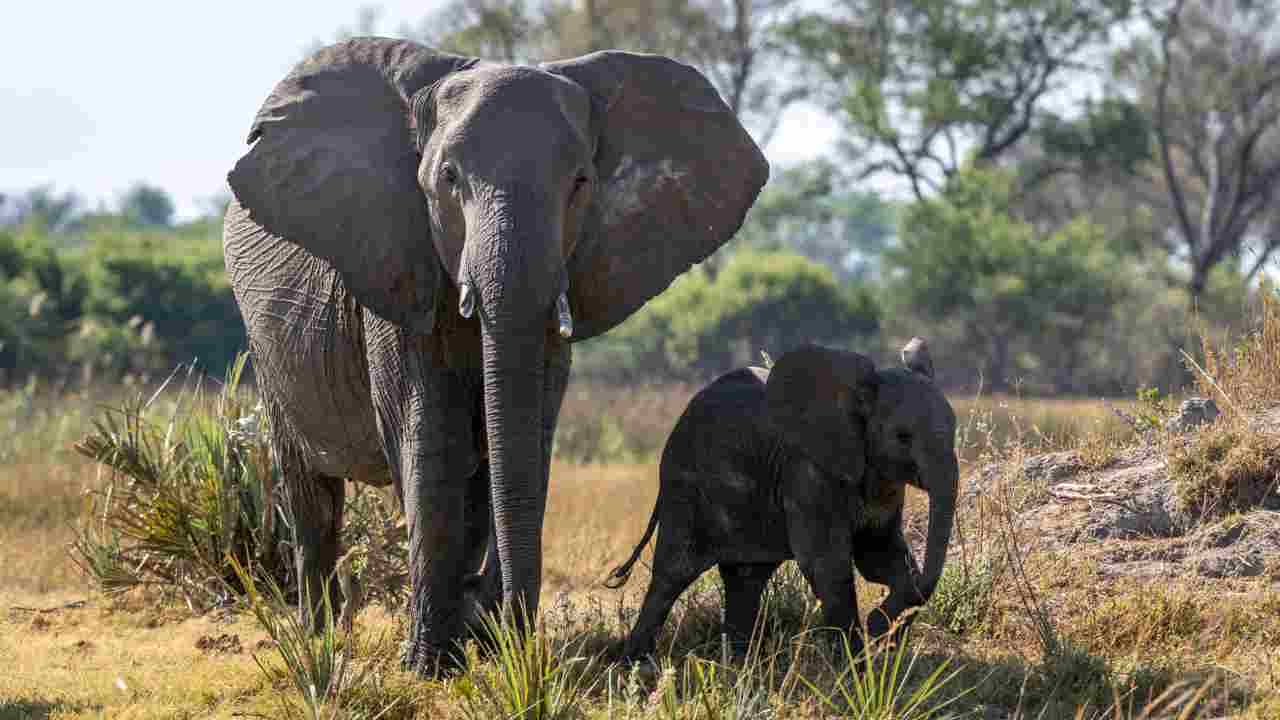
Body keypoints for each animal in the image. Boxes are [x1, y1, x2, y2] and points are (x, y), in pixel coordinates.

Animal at [222, 36, 768, 674]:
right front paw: (429, 666)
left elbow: (523, 439)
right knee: (310, 493)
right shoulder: (399, 261)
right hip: (265, 343)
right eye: (448, 178)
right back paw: (320, 641)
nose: (514, 633)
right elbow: (431, 440)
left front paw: (474, 641)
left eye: (581, 181)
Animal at [606, 338, 957, 662]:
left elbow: (879, 556)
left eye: (954, 426)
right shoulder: (806, 471)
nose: (881, 629)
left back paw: (738, 666)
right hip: (684, 486)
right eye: (902, 437)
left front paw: (877, 636)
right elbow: (827, 563)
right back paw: (637, 664)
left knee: (746, 578)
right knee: (674, 572)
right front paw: (855, 665)